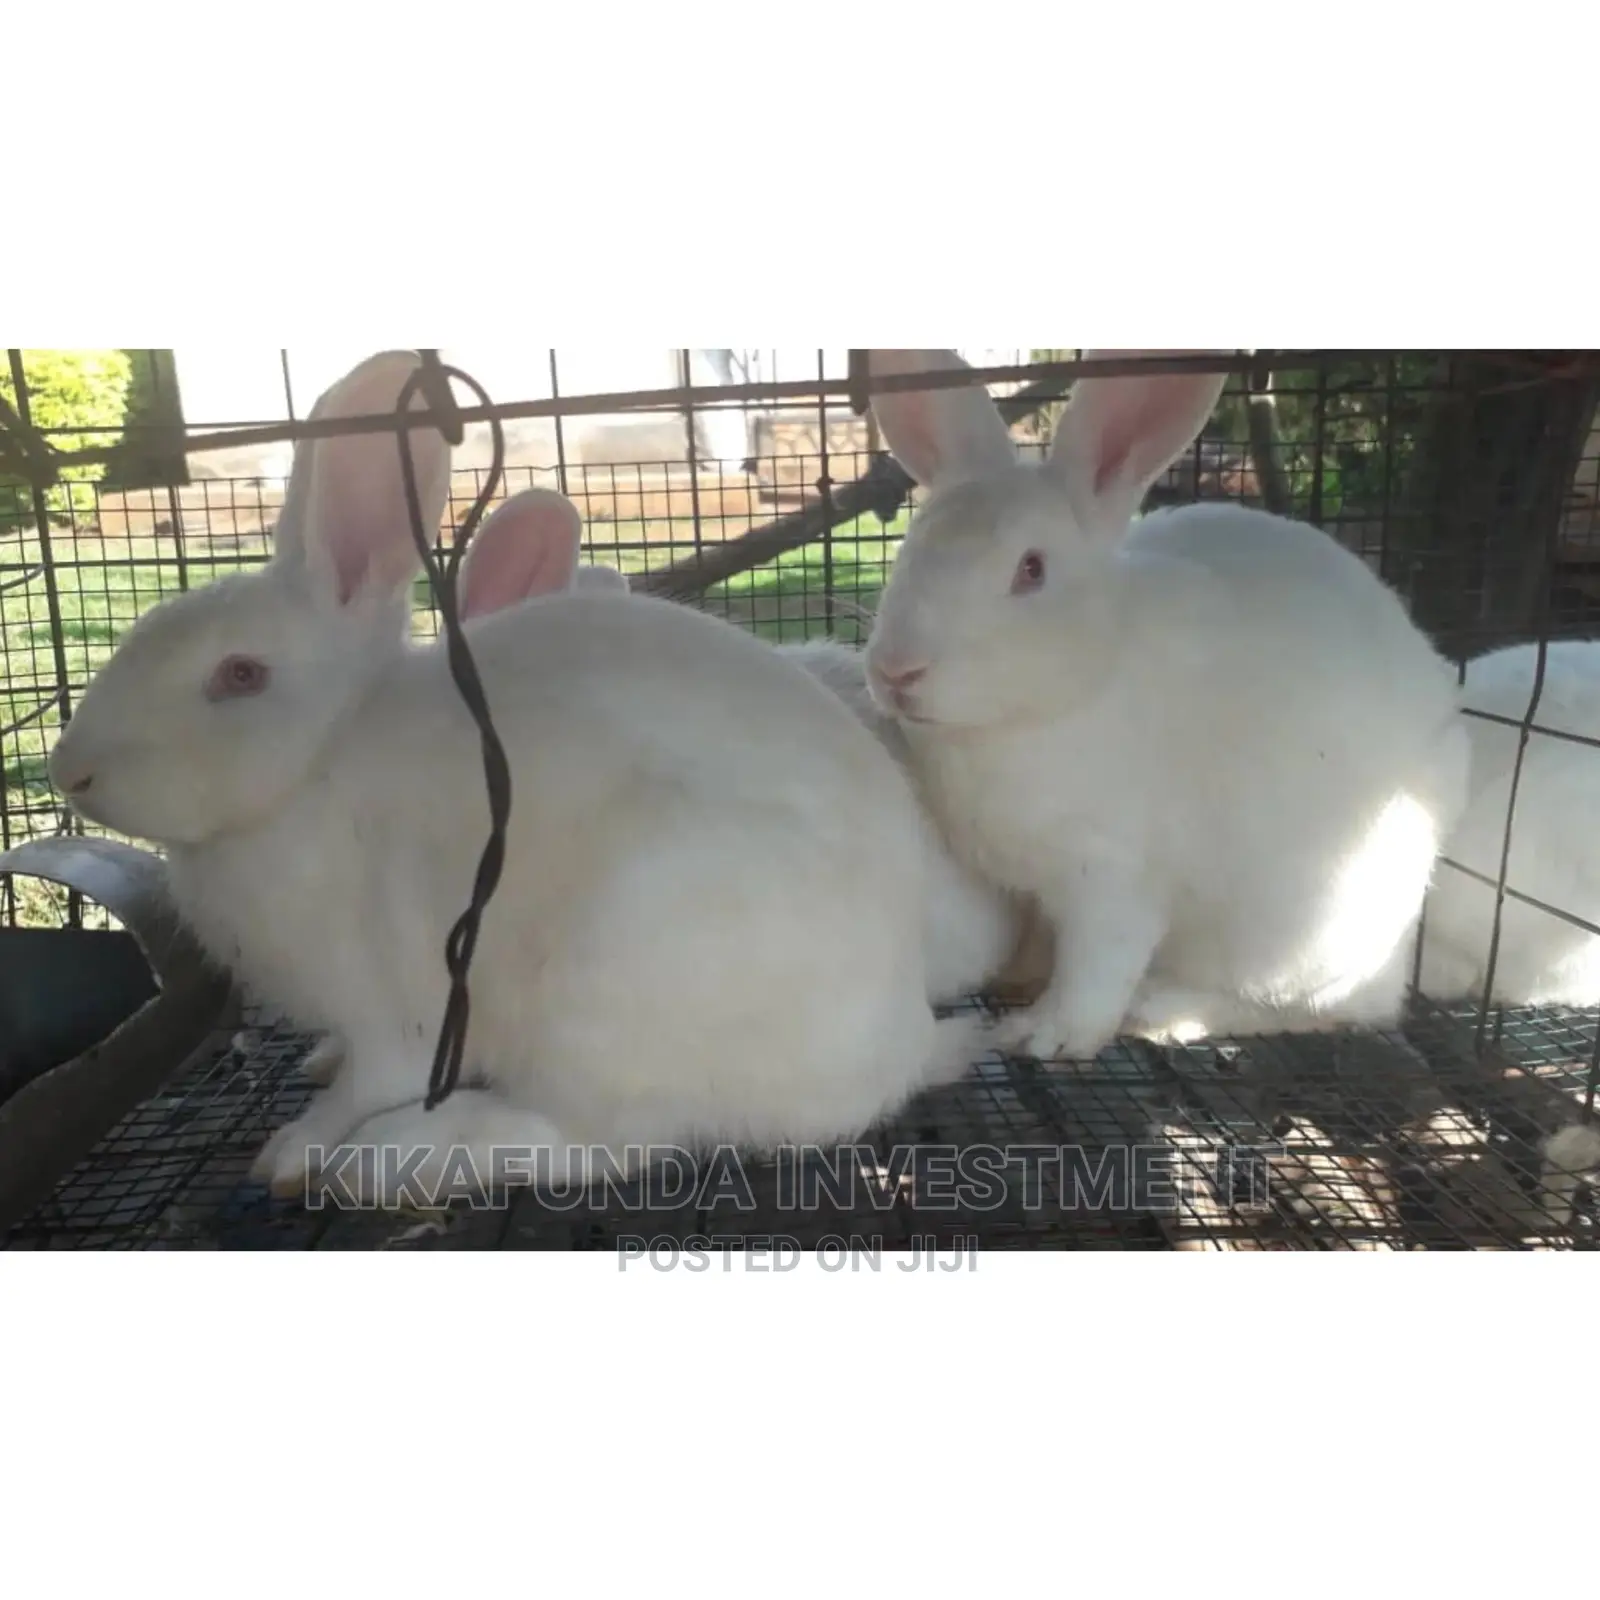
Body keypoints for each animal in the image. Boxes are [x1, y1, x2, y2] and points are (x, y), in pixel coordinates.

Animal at [47, 351, 983, 1206]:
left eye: (239, 675)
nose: (70, 770)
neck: (319, 762)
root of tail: (901, 1047)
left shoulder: (394, 1004)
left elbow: (362, 1086)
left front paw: (290, 1154)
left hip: (616, 977)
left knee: (602, 1140)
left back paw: (395, 1160)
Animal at [858, 348, 1472, 1063]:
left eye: (1031, 570)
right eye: (910, 548)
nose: (895, 670)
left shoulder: (1114, 877)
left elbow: (1096, 968)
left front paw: (1046, 1035)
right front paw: (1020, 982)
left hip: (1294, 938)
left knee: (1336, 1008)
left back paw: (1165, 1010)